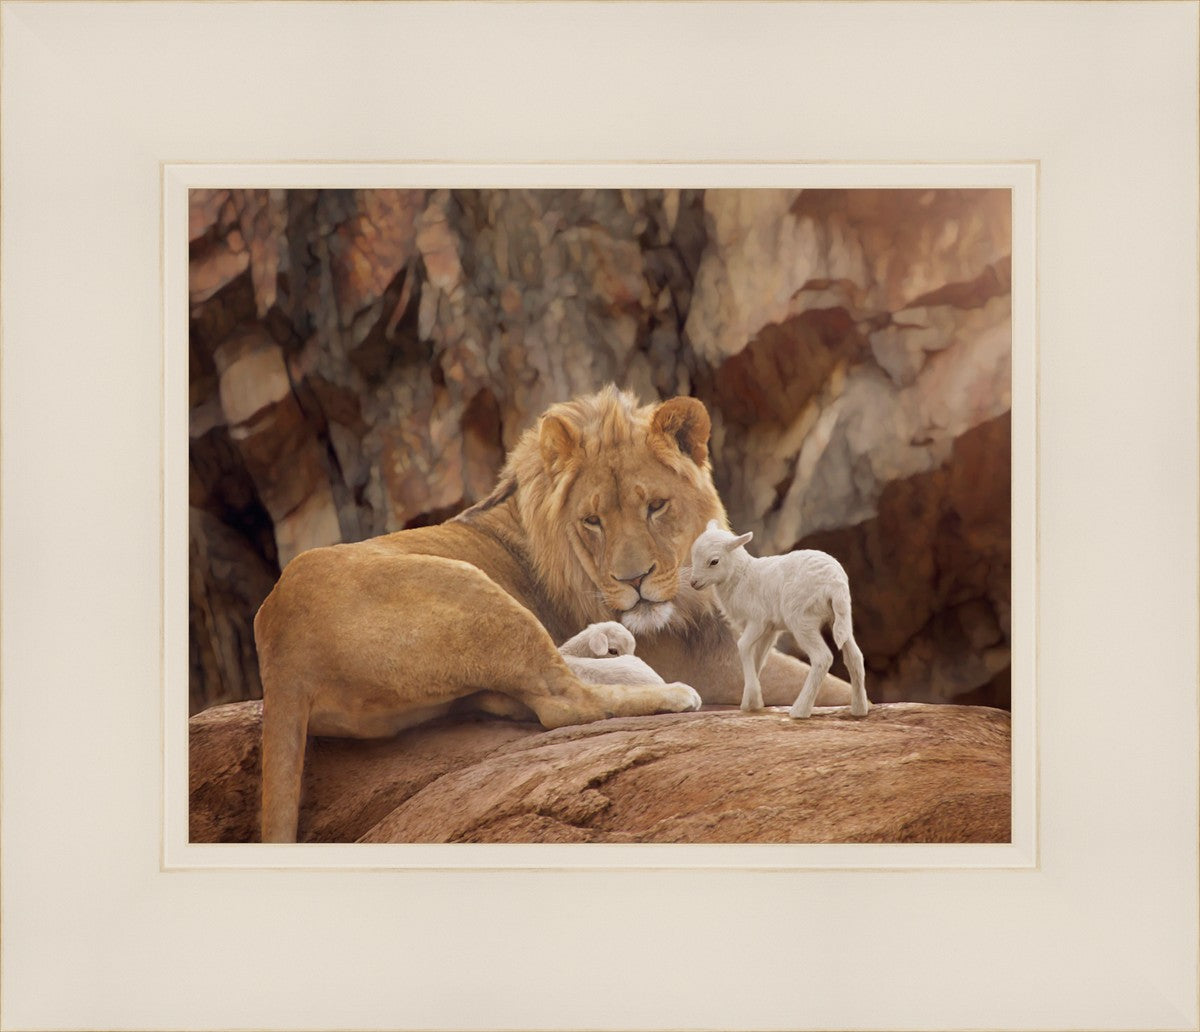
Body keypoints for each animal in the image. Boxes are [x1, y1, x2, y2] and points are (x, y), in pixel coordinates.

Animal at [688, 520, 869, 719]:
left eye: (714, 561)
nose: (693, 583)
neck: (742, 577)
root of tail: (835, 583)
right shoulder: (770, 629)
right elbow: (758, 658)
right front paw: (751, 701)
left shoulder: (758, 620)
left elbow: (743, 646)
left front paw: (752, 699)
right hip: (841, 617)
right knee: (855, 656)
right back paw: (859, 709)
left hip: (801, 618)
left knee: (822, 658)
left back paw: (800, 710)